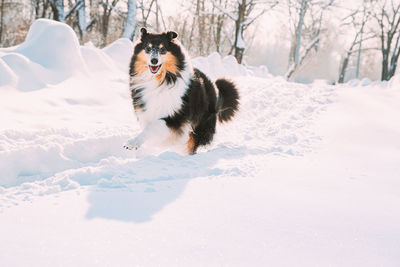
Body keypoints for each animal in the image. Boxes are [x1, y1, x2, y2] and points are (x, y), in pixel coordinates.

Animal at [123, 27, 239, 155]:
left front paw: (132, 143)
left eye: (162, 49)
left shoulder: (176, 117)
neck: (161, 80)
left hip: (200, 126)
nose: (154, 60)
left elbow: (154, 127)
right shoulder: (147, 113)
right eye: (148, 48)